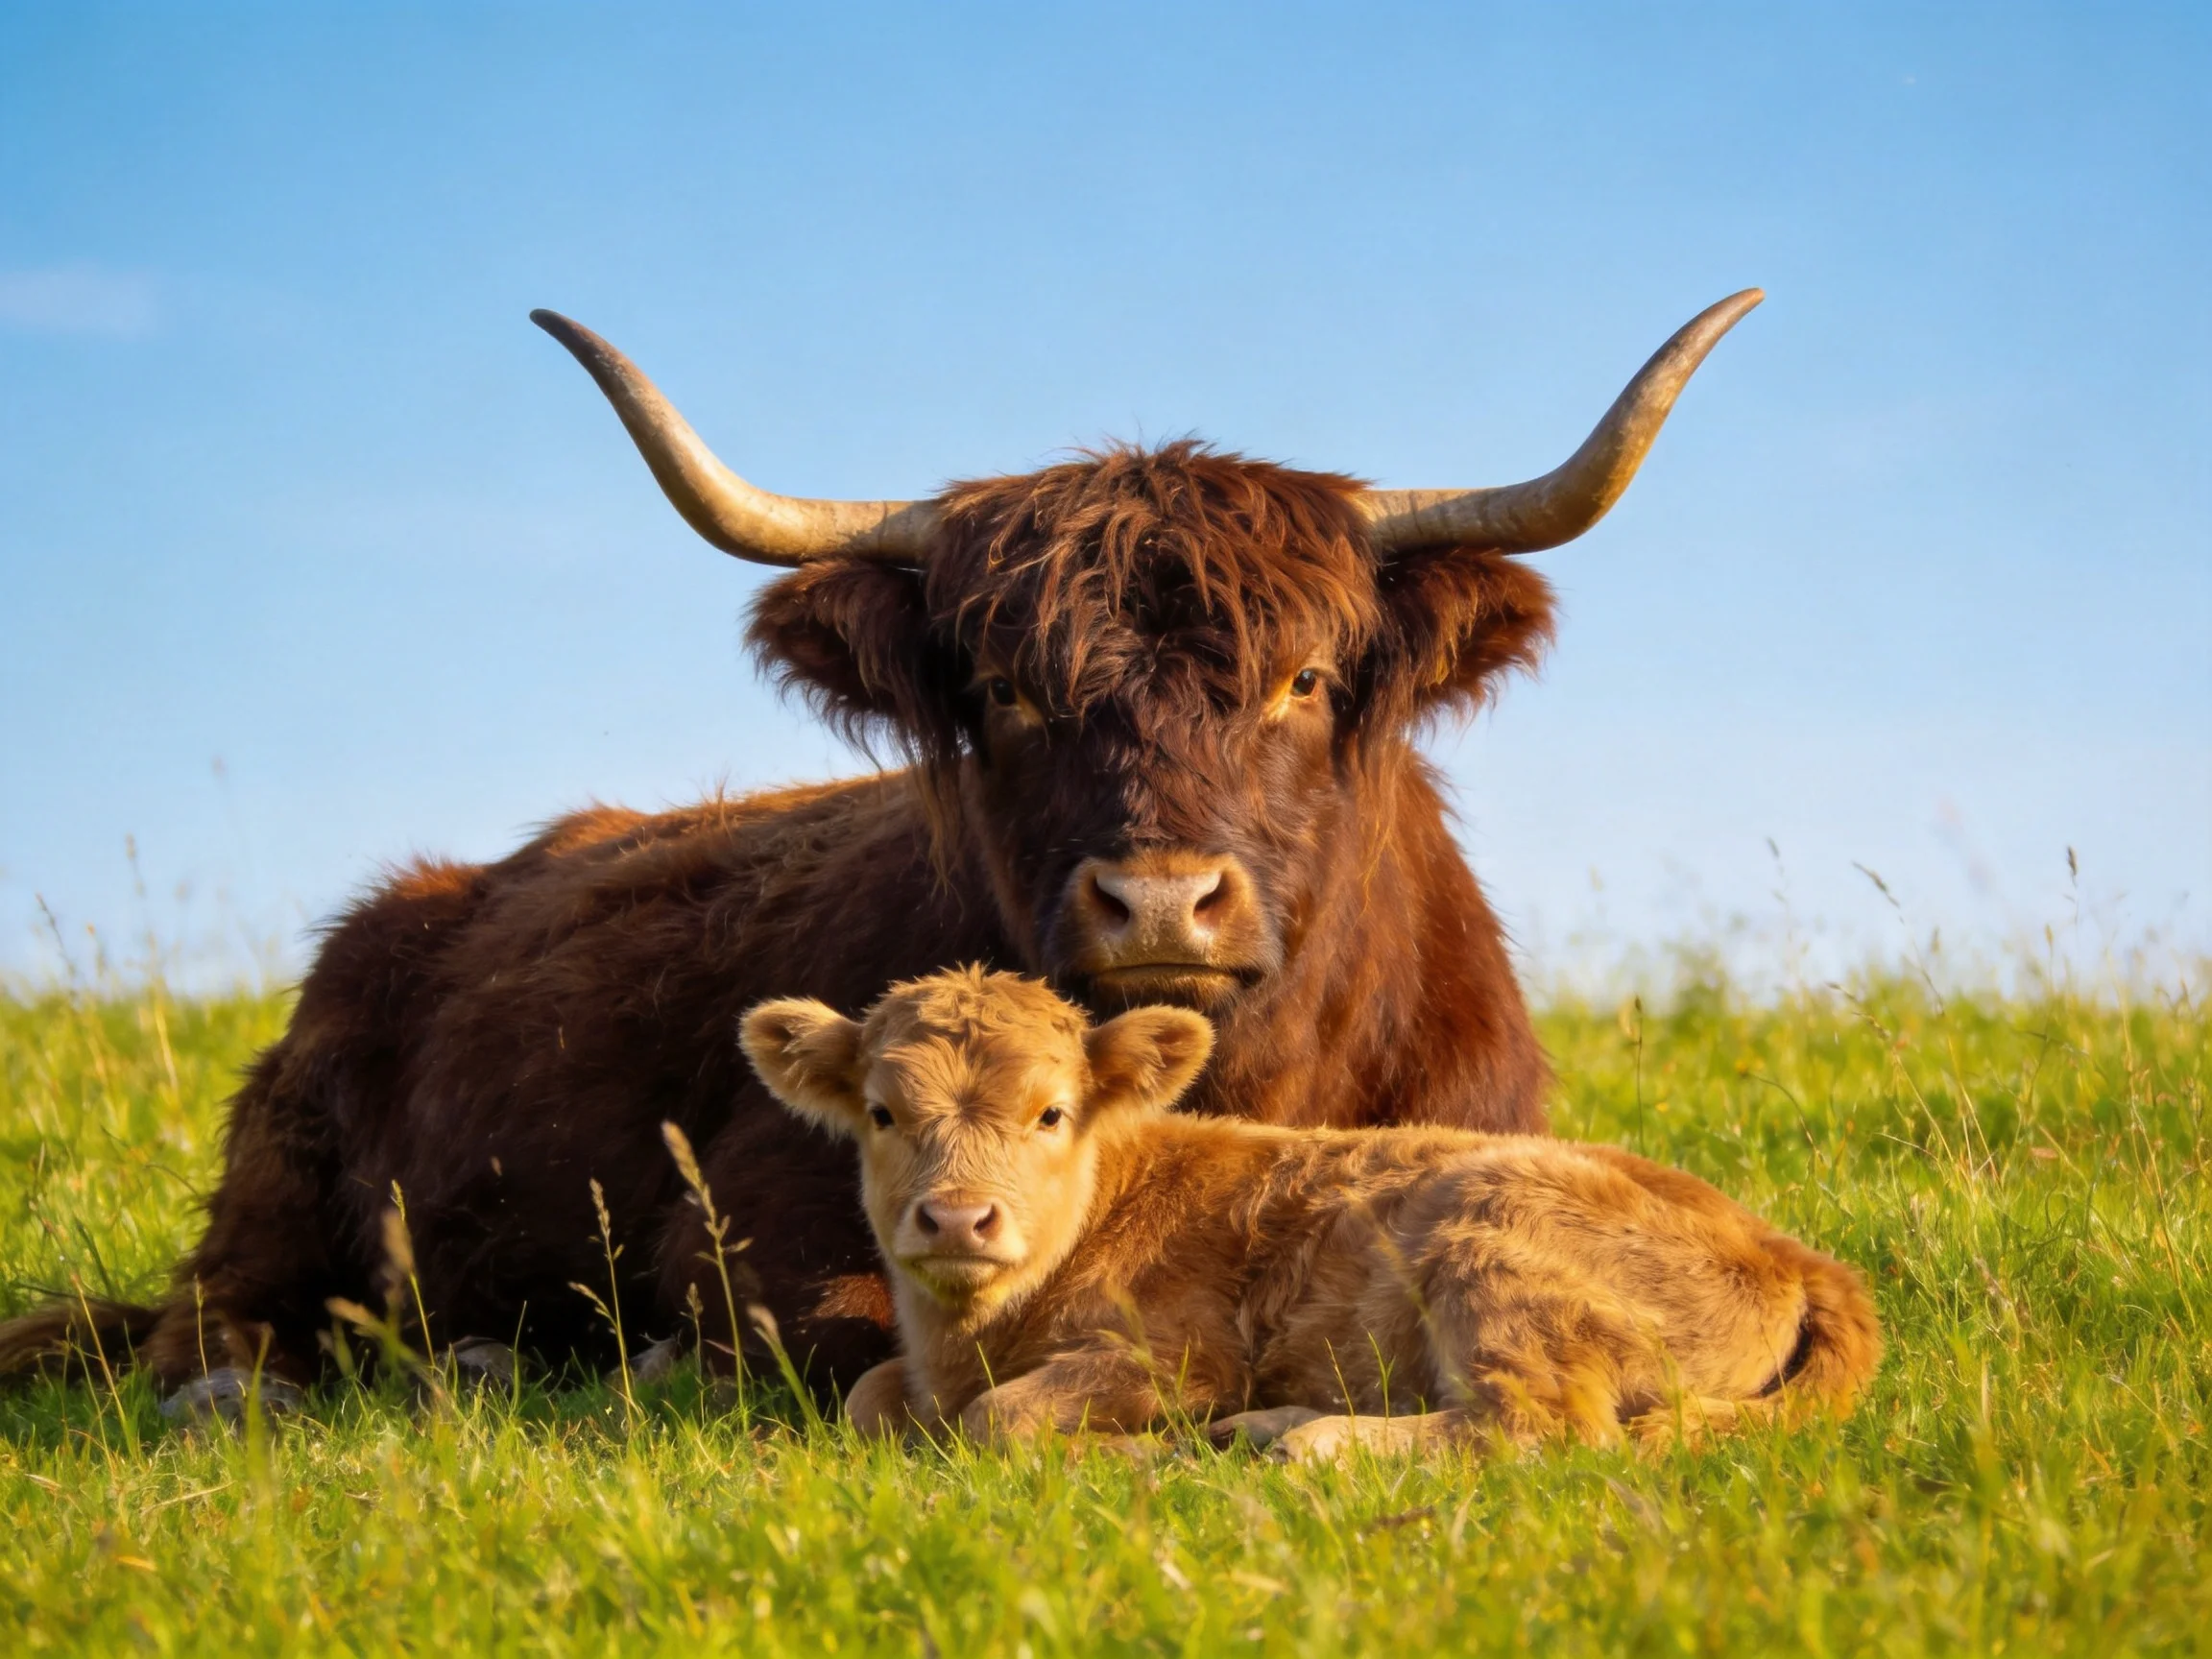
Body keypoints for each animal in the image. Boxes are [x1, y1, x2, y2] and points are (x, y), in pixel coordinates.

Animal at [0, 291, 1764, 1413]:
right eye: (1004, 691)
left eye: (1306, 678)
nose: (1156, 899)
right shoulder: (741, 1223)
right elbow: (841, 1338)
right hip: (279, 1179)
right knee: (214, 1327)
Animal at [743, 967, 1882, 1457]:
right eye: (883, 1113)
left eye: (1051, 1112)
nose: (956, 1220)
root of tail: (1796, 1254)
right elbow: (868, 1398)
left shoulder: (1175, 1356)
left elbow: (1000, 1423)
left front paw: (1140, 1453)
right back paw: (1267, 1428)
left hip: (1498, 1251)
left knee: (1538, 1429)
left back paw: (1301, 1444)